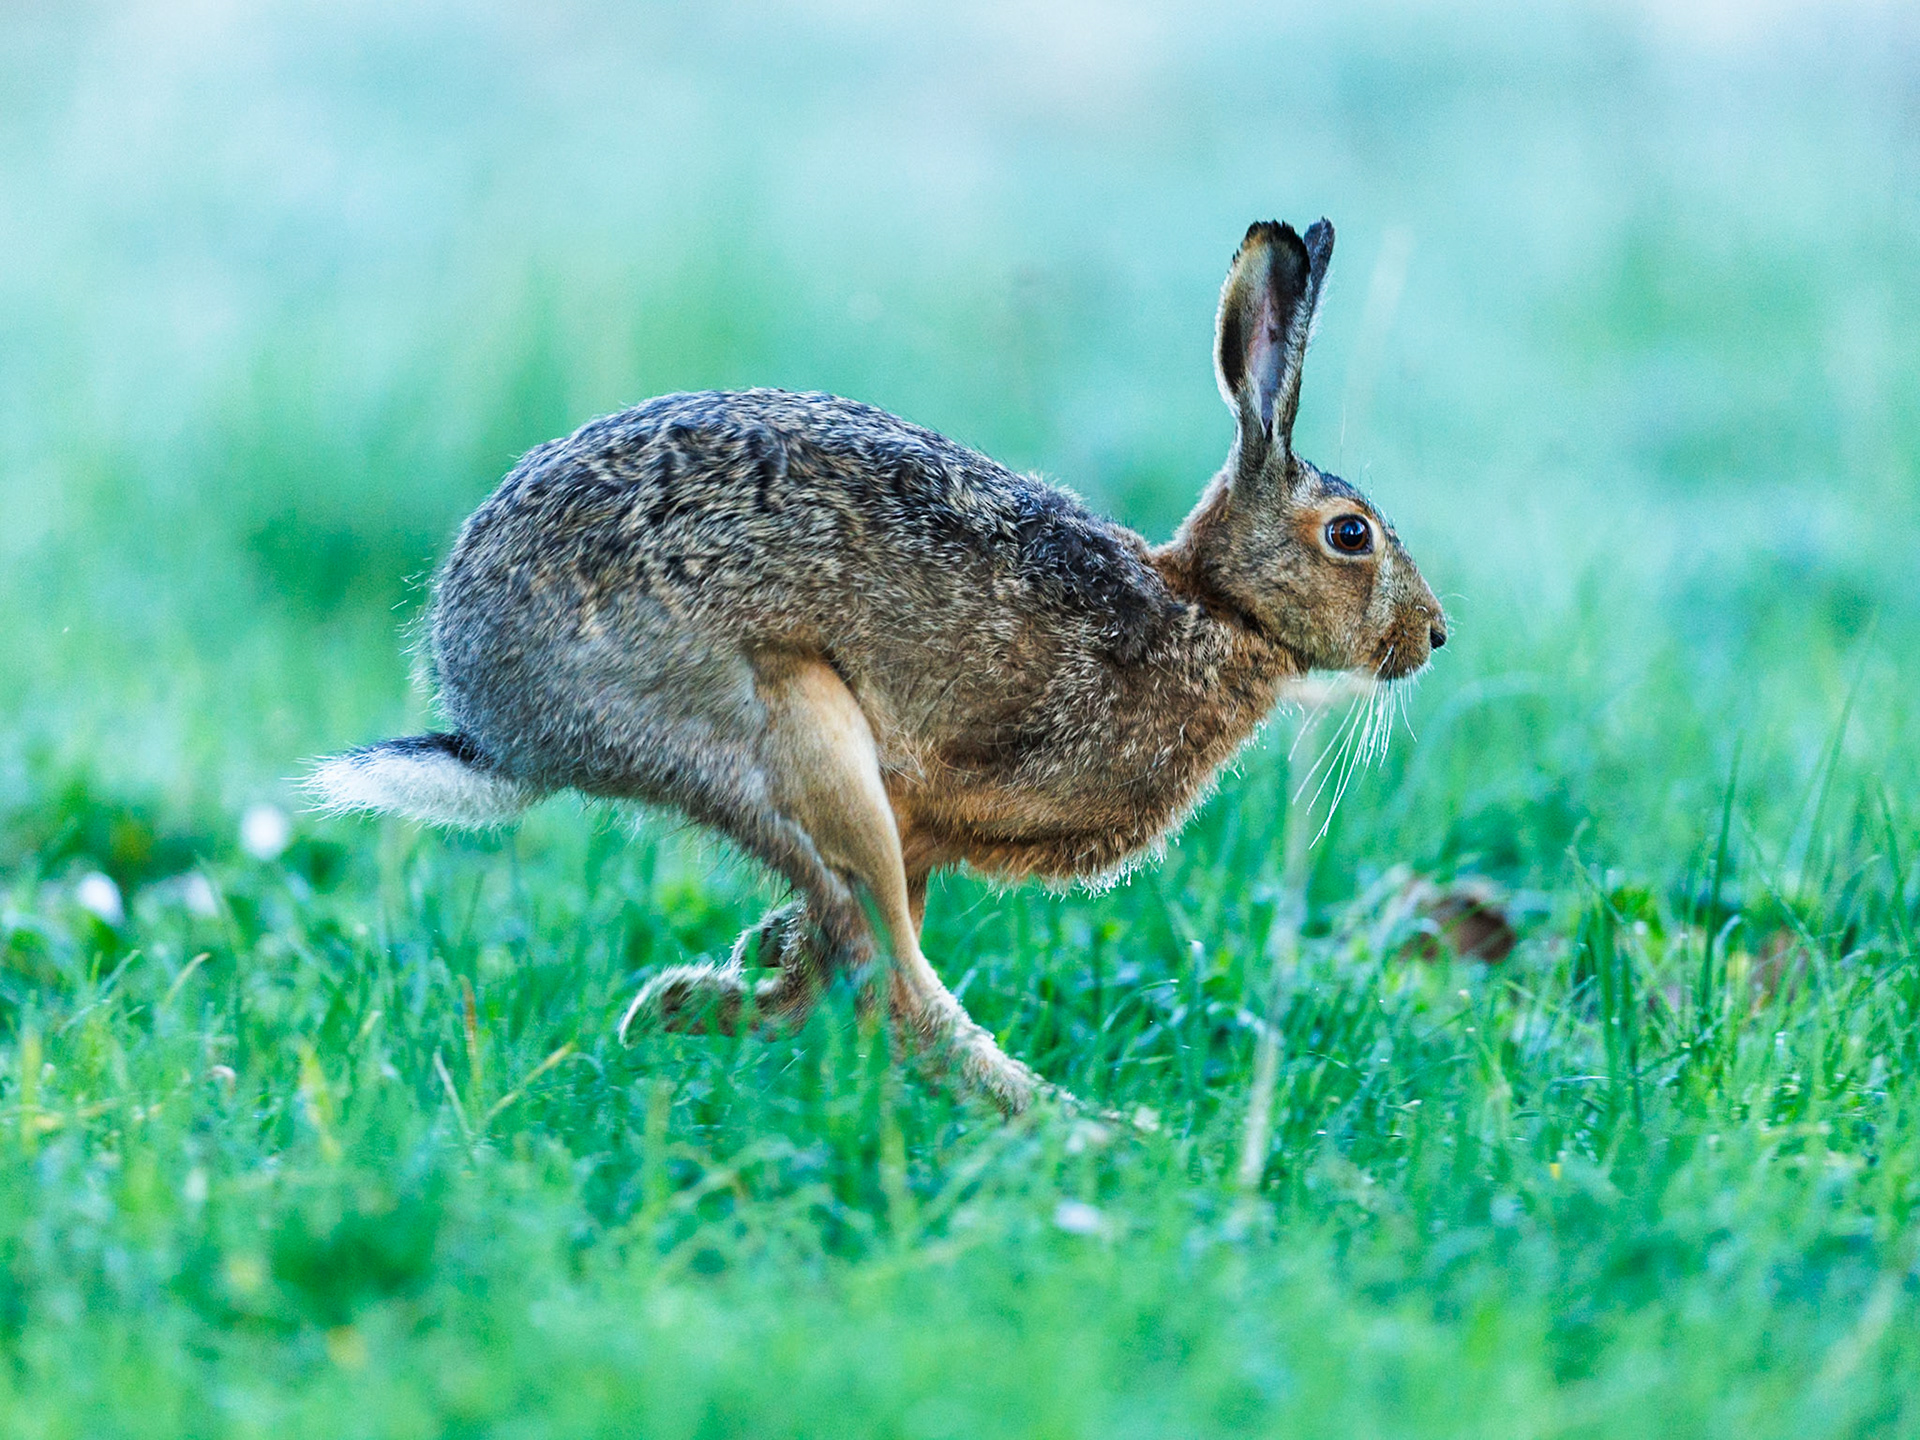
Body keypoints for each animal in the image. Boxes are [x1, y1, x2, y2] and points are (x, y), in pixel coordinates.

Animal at [310, 218, 1447, 1116]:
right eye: (1351, 536)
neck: (1209, 607)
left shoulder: (927, 837)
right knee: (896, 991)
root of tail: (493, 711)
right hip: (789, 732)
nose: (1431, 637)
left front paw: (753, 957)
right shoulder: (927, 796)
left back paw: (681, 1005)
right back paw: (1079, 1129)